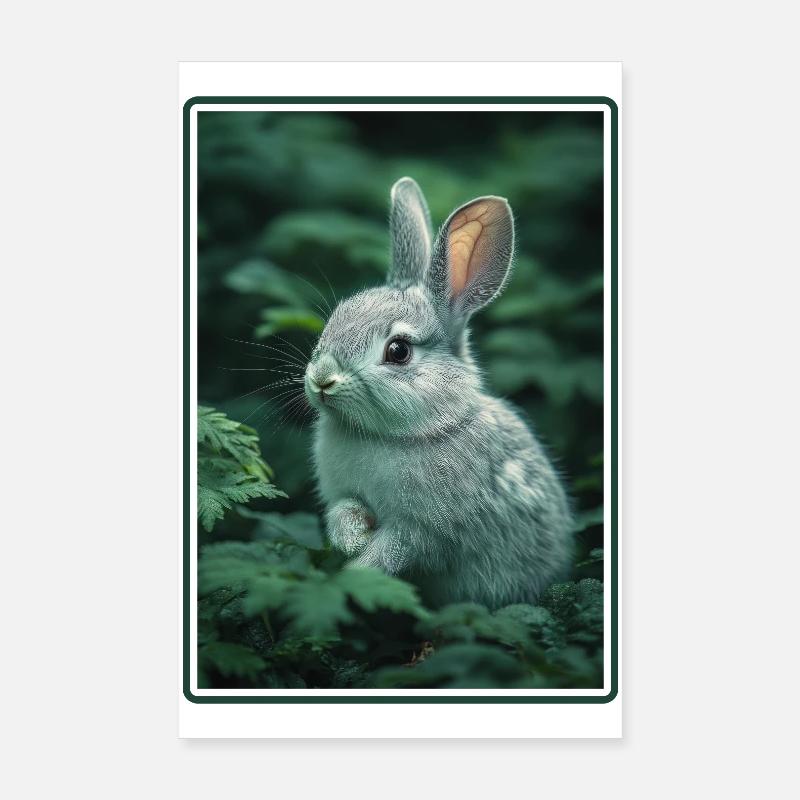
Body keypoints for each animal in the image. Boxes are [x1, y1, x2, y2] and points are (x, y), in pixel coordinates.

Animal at [304, 177, 573, 609]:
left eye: (398, 351)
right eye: (336, 318)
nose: (322, 379)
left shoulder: (423, 531)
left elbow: (394, 550)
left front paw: (356, 573)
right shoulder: (343, 495)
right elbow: (343, 512)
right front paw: (353, 538)